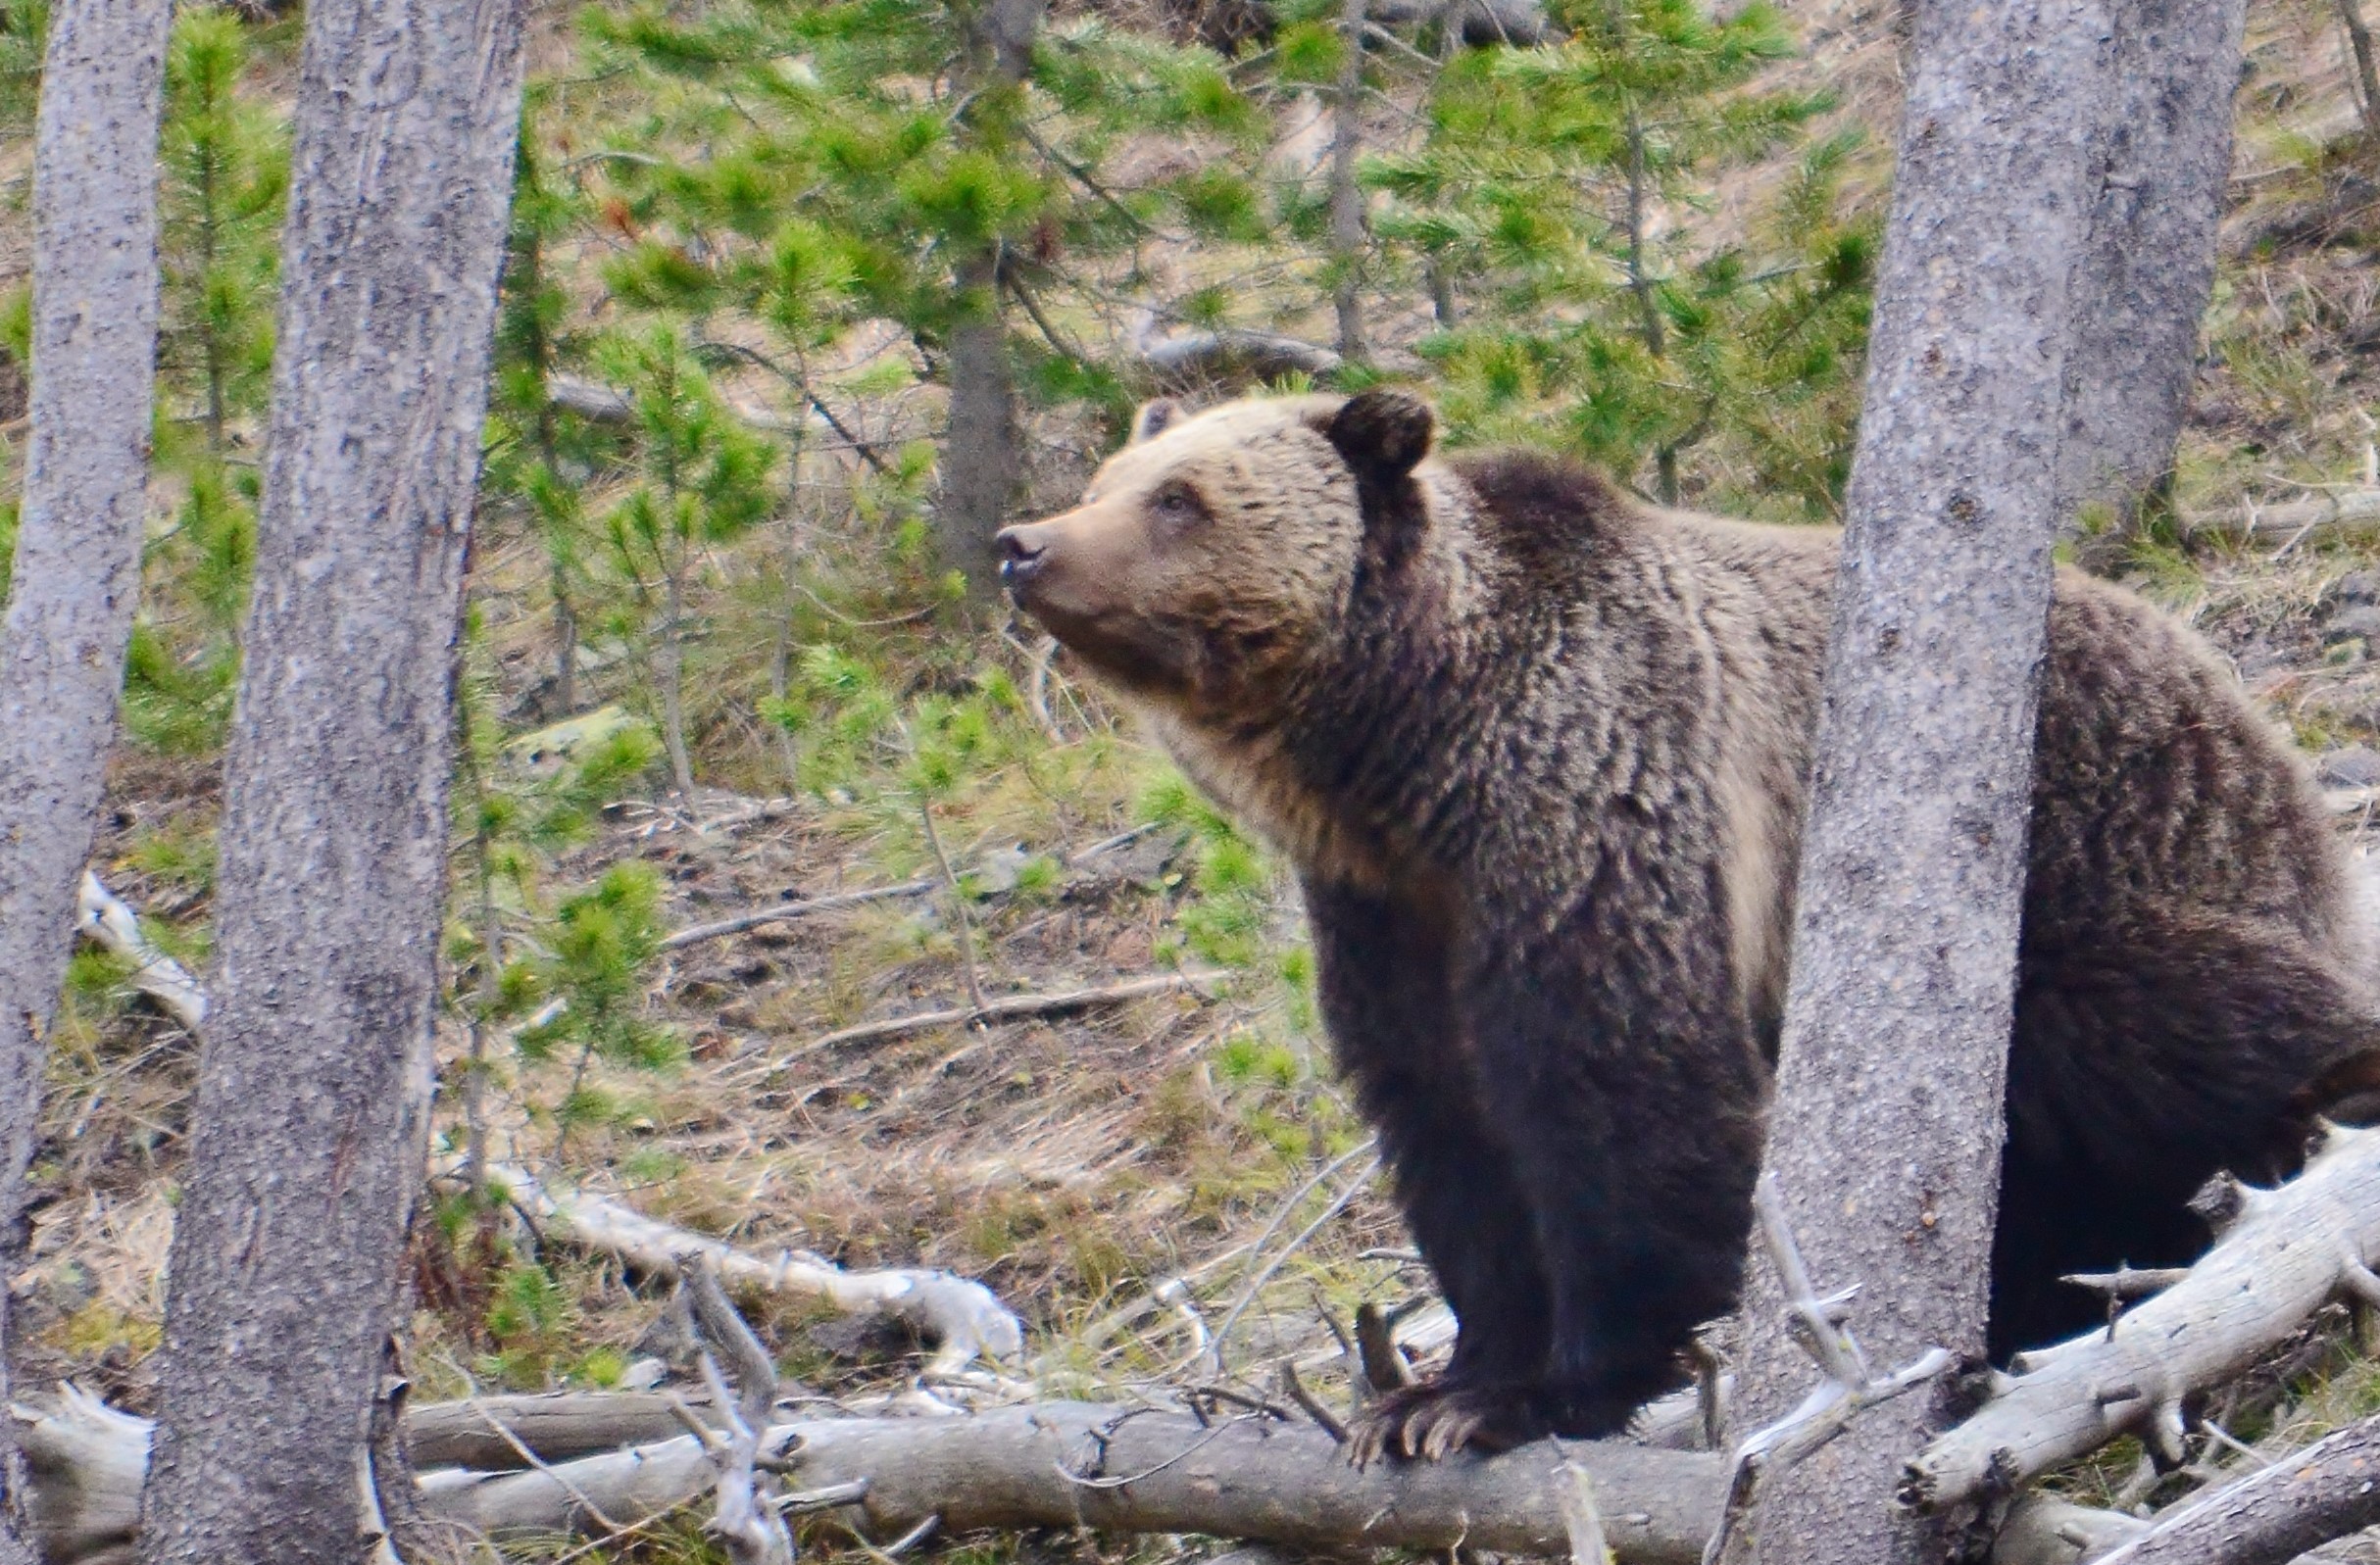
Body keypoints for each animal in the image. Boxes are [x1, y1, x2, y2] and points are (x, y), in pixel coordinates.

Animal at [990, 382, 2380, 1455]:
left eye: (1181, 497)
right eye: (1114, 473)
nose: (1024, 541)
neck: (1409, 759)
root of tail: (2247, 717)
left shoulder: (1600, 803)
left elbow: (1618, 1089)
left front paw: (1560, 1386)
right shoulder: (1389, 917)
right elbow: (1445, 1124)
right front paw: (1432, 1396)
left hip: (2108, 857)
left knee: (2155, 1024)